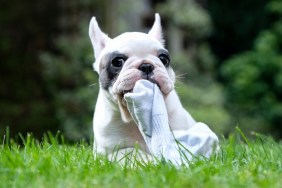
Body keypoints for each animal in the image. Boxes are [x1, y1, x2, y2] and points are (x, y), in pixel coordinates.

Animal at [89, 13, 217, 161]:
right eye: (117, 62)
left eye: (164, 59)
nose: (146, 65)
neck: (134, 118)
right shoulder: (105, 153)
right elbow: (130, 151)